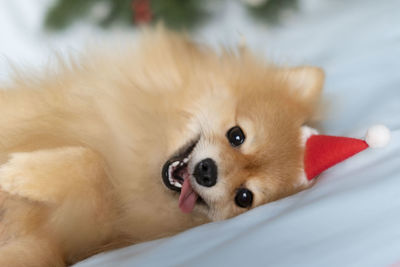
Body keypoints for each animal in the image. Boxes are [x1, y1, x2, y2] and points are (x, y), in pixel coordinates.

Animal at [0, 28, 324, 266]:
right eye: (237, 136)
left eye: (243, 197)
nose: (207, 172)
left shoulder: (71, 238)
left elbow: (95, 170)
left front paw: (17, 174)